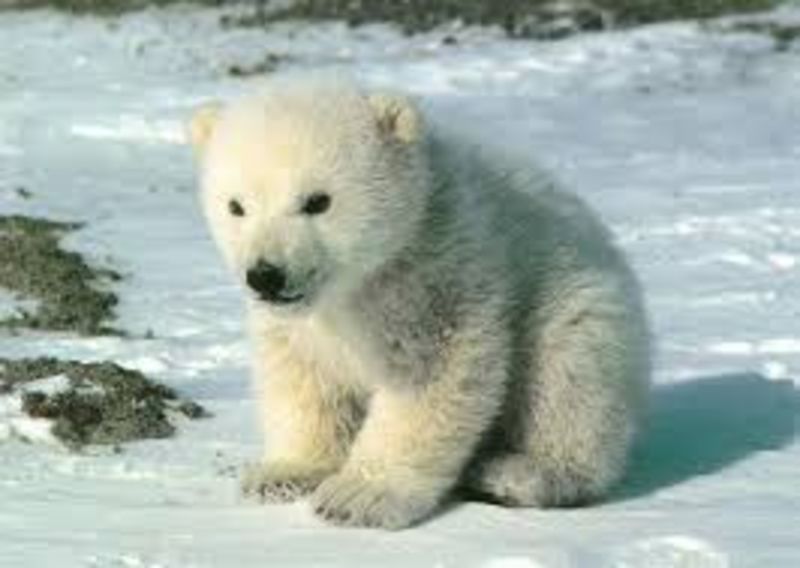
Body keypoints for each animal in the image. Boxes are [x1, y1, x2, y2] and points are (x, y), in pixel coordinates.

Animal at [188, 78, 651, 530]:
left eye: (317, 201)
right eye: (236, 206)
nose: (266, 275)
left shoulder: (434, 272)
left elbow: (429, 375)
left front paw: (358, 496)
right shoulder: (301, 325)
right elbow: (303, 377)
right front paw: (282, 474)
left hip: (577, 302)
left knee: (568, 381)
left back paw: (518, 472)